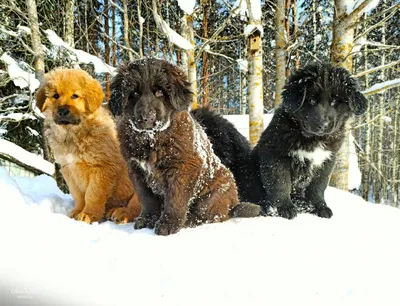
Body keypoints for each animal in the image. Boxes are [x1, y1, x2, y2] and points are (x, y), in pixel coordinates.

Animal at [36, 68, 141, 224]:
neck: (74, 133)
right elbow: (79, 195)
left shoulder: (102, 168)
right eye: (55, 95)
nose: (62, 111)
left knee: (138, 206)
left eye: (75, 96)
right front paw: (77, 211)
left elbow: (93, 195)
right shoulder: (69, 169)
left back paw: (122, 213)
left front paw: (88, 215)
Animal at [109, 57, 260, 235]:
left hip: (214, 194)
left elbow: (175, 199)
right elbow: (147, 199)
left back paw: (189, 221)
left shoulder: (182, 168)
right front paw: (146, 220)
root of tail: (233, 205)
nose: (146, 117)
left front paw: (168, 225)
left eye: (159, 92)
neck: (151, 139)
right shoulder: (136, 171)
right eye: (133, 94)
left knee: (209, 214)